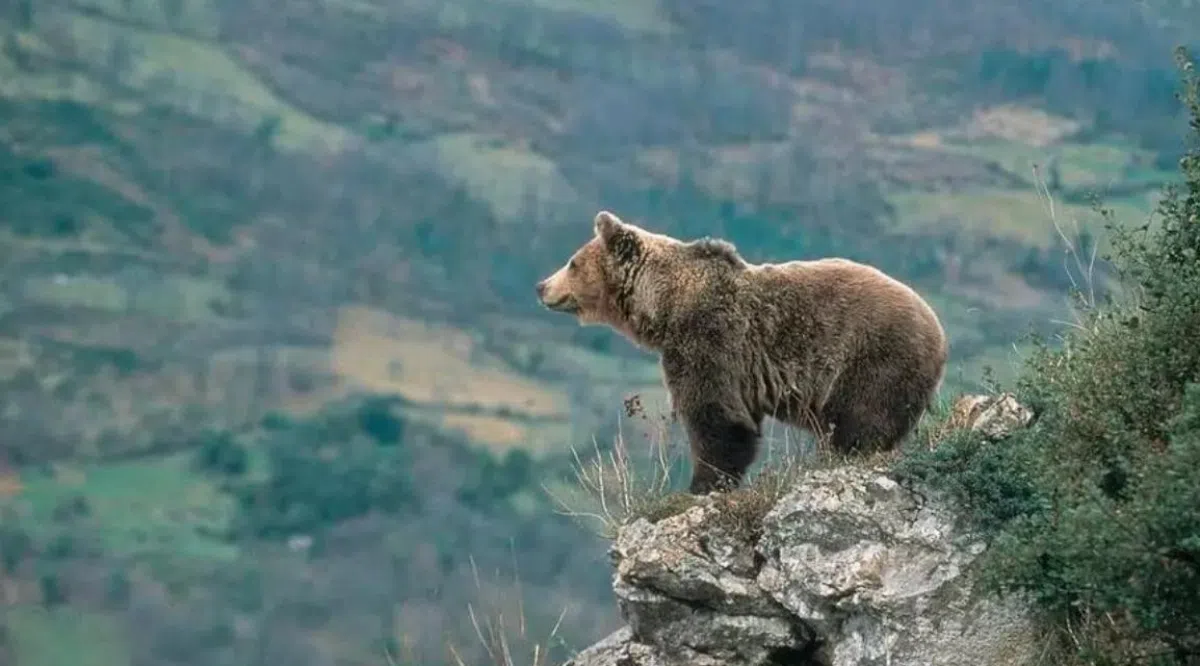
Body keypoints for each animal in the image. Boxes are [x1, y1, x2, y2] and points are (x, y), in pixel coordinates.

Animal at [536, 210, 949, 494]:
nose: (541, 285)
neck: (664, 306)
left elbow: (716, 416)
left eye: (572, 262)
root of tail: (940, 333)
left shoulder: (710, 340)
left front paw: (701, 485)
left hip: (873, 357)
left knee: (862, 422)